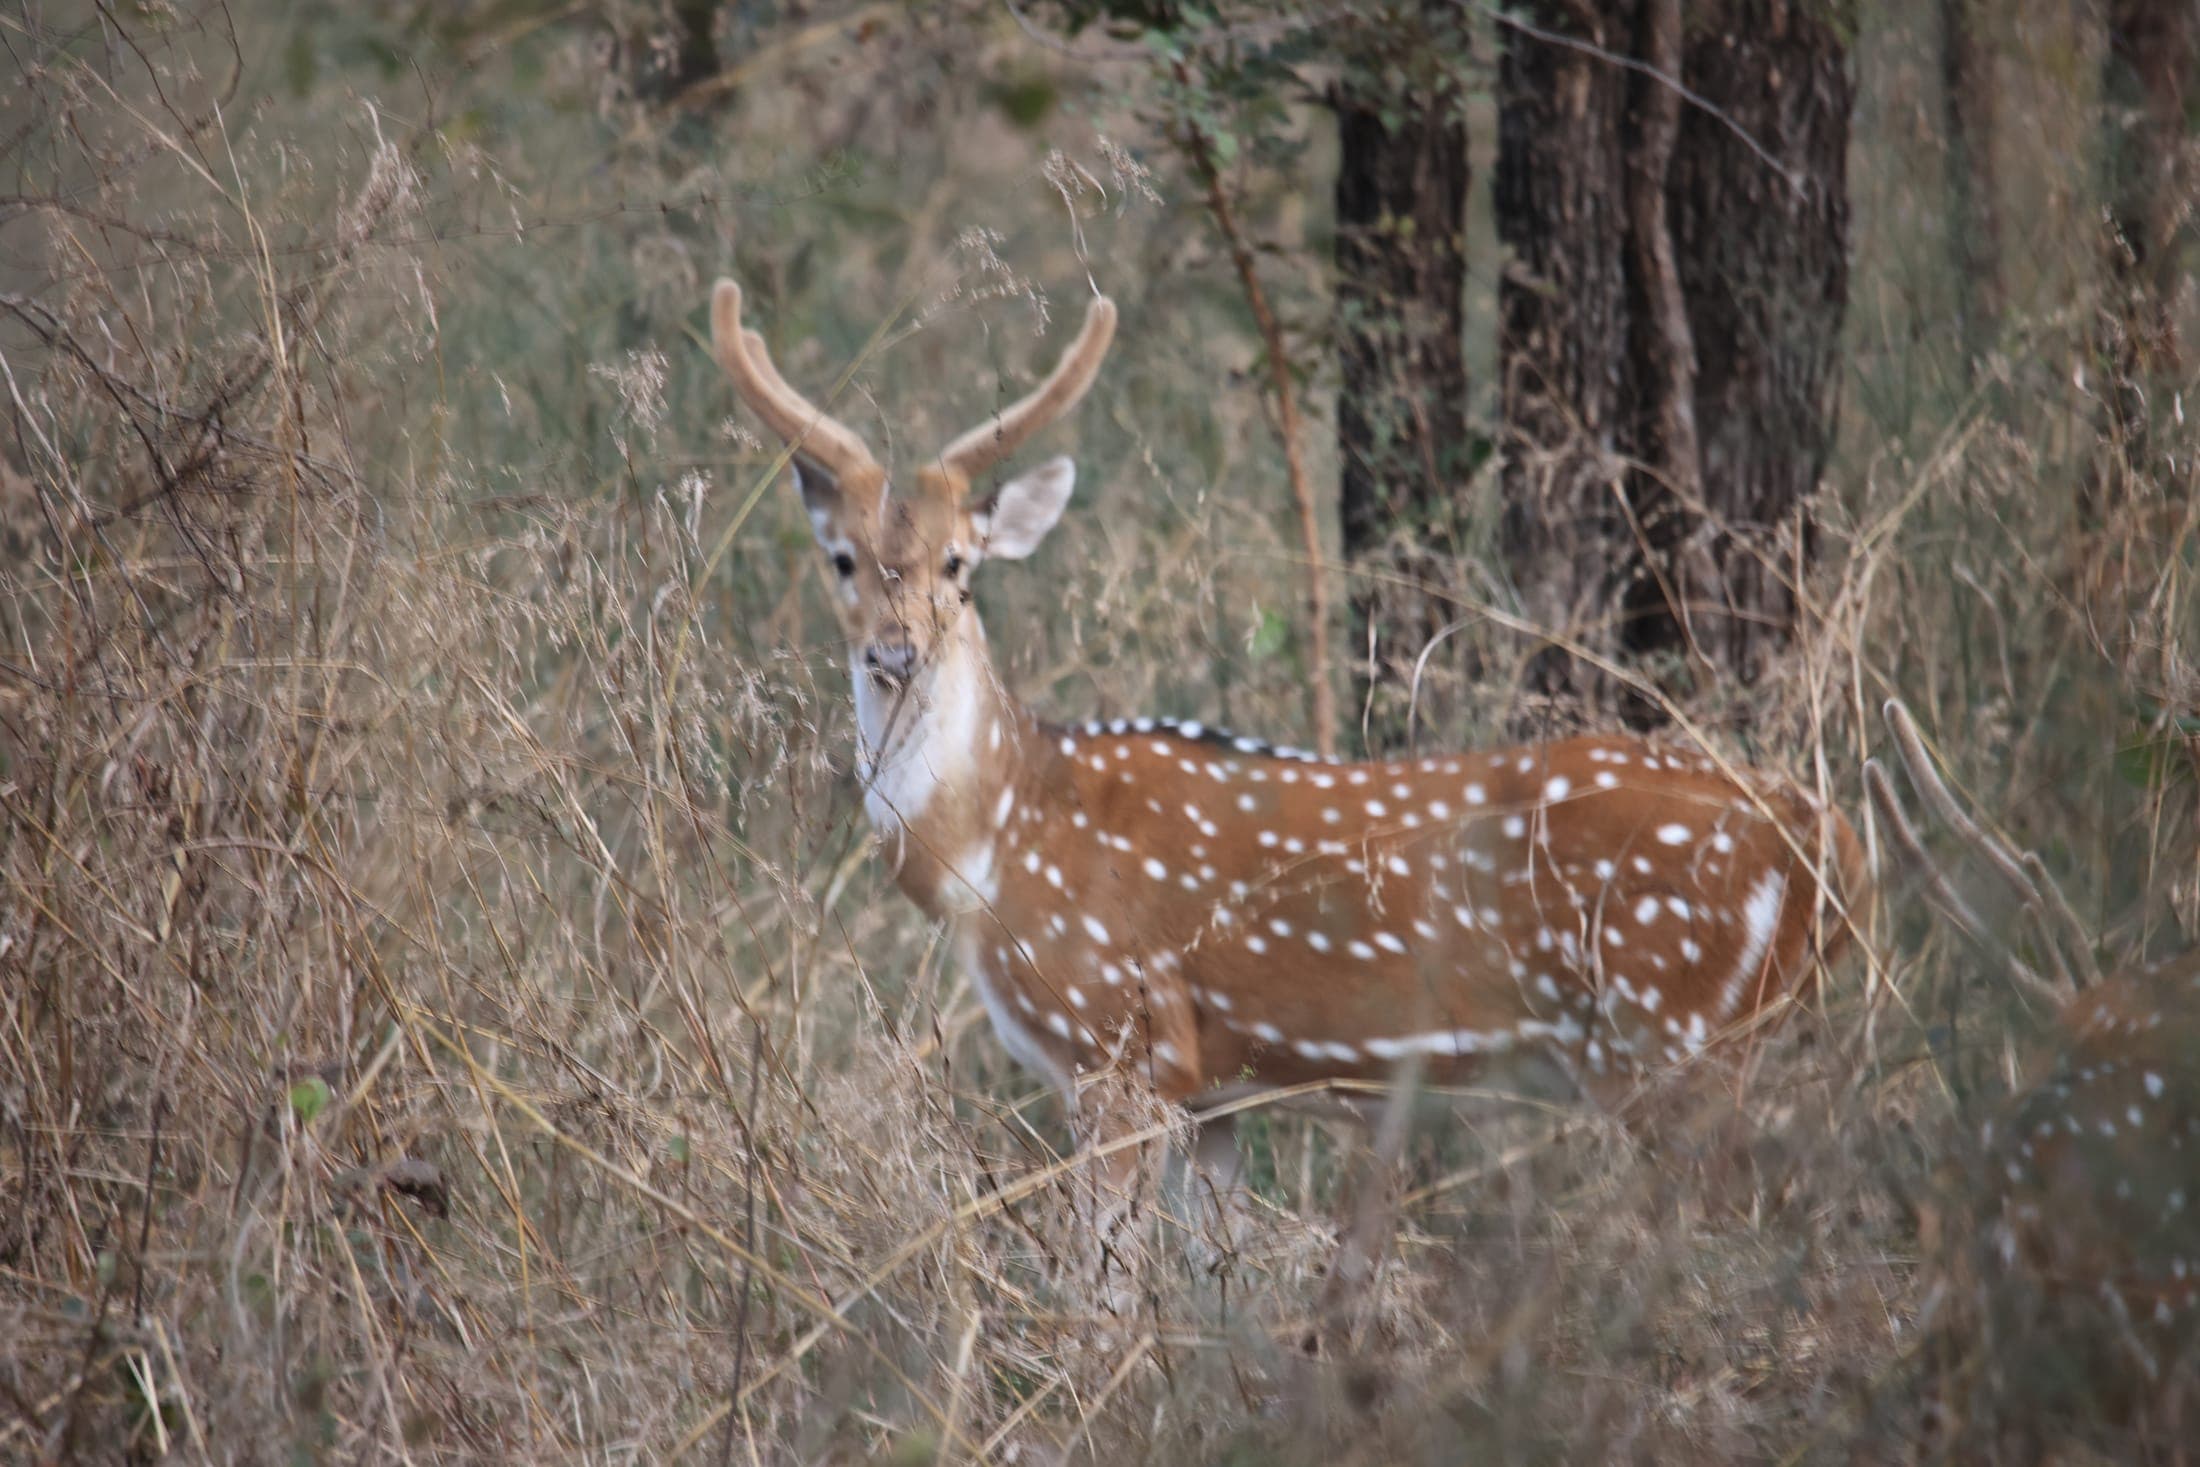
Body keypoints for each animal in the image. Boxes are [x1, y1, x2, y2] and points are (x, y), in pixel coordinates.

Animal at [707, 273, 1870, 1243]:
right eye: (843, 558)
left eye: (959, 562)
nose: (895, 651)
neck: (991, 846)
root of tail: (1830, 841)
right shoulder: (1214, 1090)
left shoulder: (1113, 1046)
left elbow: (1102, 1290)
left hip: (1671, 1032)